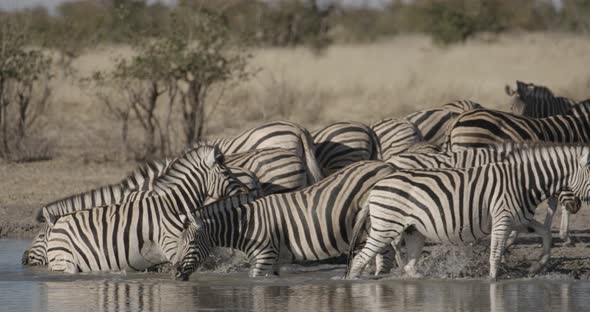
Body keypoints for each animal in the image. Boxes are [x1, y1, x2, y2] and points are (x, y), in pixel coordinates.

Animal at [45, 145, 251, 274]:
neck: (176, 206)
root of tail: (56, 221)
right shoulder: (173, 247)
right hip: (64, 262)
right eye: (226, 173)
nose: (246, 191)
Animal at [173, 161, 400, 278]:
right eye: (179, 243)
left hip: (378, 220)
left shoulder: (264, 256)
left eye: (191, 243)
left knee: (385, 253)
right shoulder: (273, 260)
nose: (175, 274)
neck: (248, 225)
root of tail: (387, 166)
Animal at [346, 143, 590, 280]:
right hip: (385, 227)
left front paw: (536, 267)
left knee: (409, 267)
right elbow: (495, 254)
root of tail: (374, 187)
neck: (523, 181)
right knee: (359, 260)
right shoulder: (502, 218)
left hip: (413, 230)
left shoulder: (519, 219)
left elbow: (546, 234)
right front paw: (492, 282)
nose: (577, 207)